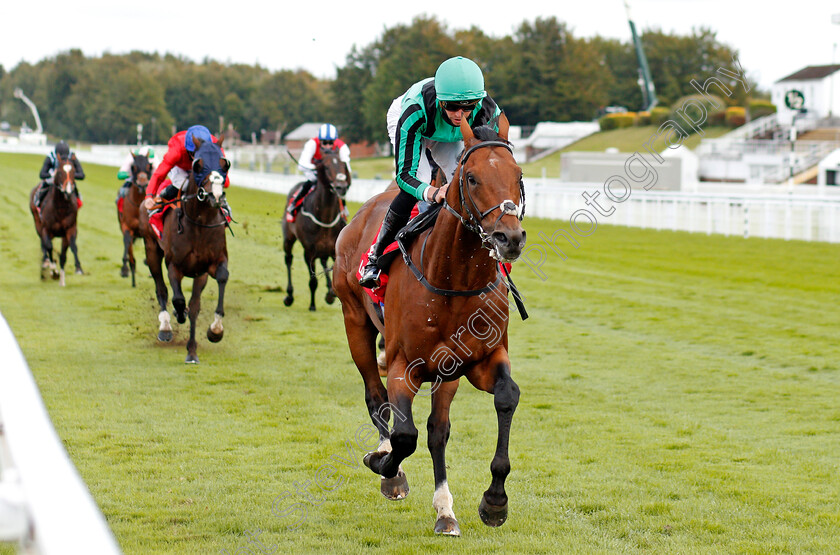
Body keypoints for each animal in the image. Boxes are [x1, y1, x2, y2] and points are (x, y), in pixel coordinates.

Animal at [28, 156, 83, 286]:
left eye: (73, 172)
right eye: (60, 172)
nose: (68, 191)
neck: (61, 208)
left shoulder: (70, 229)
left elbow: (70, 249)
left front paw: (65, 278)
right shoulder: (46, 229)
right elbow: (49, 246)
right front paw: (54, 272)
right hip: (38, 224)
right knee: (44, 244)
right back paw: (45, 265)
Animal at [116, 154, 153, 288]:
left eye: (148, 166)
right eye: (134, 167)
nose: (142, 182)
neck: (138, 205)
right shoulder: (127, 227)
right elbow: (127, 242)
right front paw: (125, 269)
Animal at [140, 138, 233, 364]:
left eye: (224, 163)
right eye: (198, 165)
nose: (216, 196)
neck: (199, 223)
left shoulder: (208, 266)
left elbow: (203, 298)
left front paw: (211, 334)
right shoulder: (175, 266)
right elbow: (179, 299)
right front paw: (179, 314)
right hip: (151, 248)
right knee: (161, 289)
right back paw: (165, 327)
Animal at [280, 148, 350, 310]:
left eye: (343, 165)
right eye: (326, 167)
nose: (341, 187)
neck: (326, 218)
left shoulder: (334, 250)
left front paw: (330, 293)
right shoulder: (309, 252)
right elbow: (313, 281)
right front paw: (312, 305)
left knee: (323, 262)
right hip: (288, 238)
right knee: (288, 259)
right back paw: (289, 296)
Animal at [334, 115, 524, 536]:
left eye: (518, 175)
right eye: (471, 178)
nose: (510, 238)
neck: (455, 279)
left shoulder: (478, 360)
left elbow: (505, 397)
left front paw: (495, 501)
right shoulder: (403, 366)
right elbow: (405, 435)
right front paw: (385, 468)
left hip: (446, 371)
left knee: (438, 430)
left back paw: (445, 510)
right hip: (354, 320)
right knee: (375, 398)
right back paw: (387, 461)